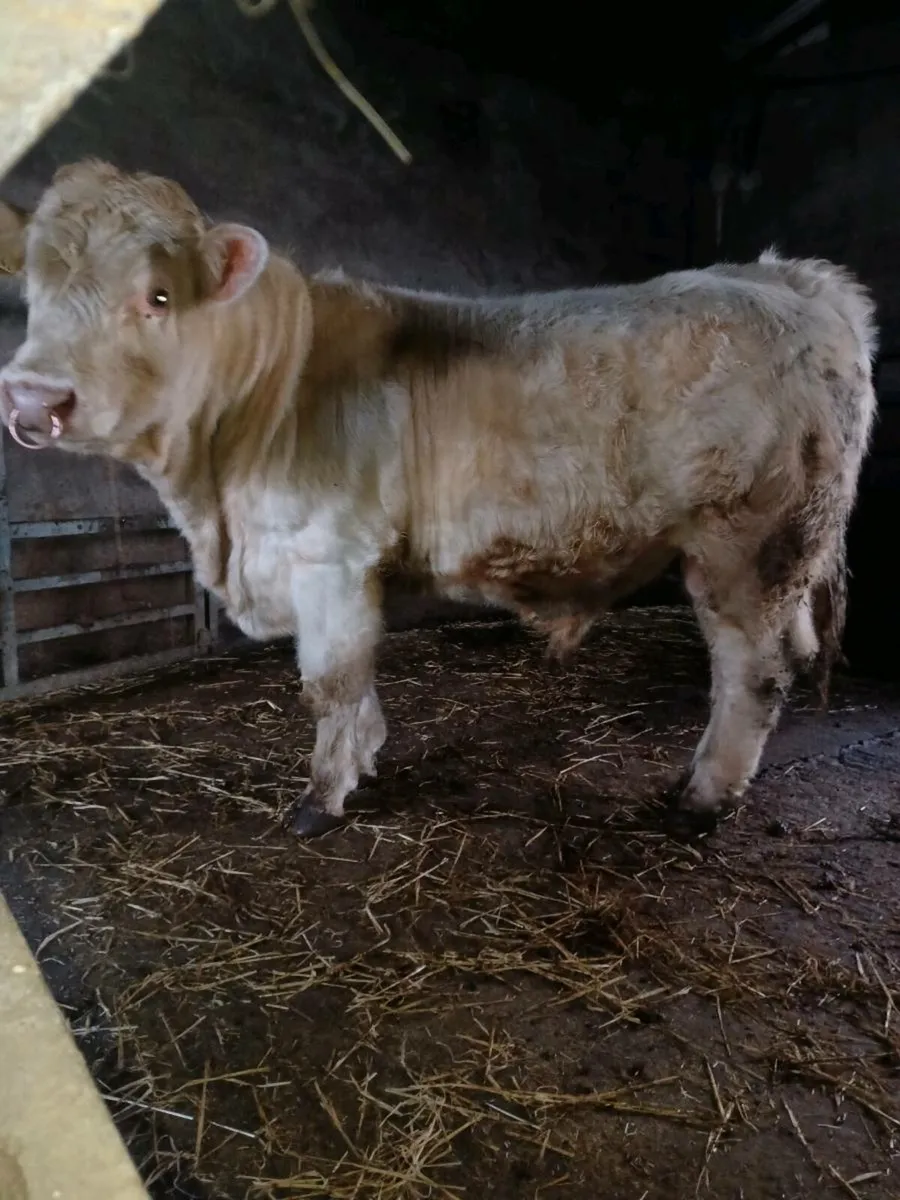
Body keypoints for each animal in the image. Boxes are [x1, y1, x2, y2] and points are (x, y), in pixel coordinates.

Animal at [0, 160, 878, 839]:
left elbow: (331, 682)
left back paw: (700, 797)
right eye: (34, 290)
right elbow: (358, 684)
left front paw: (322, 798)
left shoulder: (329, 558)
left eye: (156, 296)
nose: (36, 399)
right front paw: (365, 759)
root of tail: (783, 275)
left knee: (750, 676)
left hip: (748, 546)